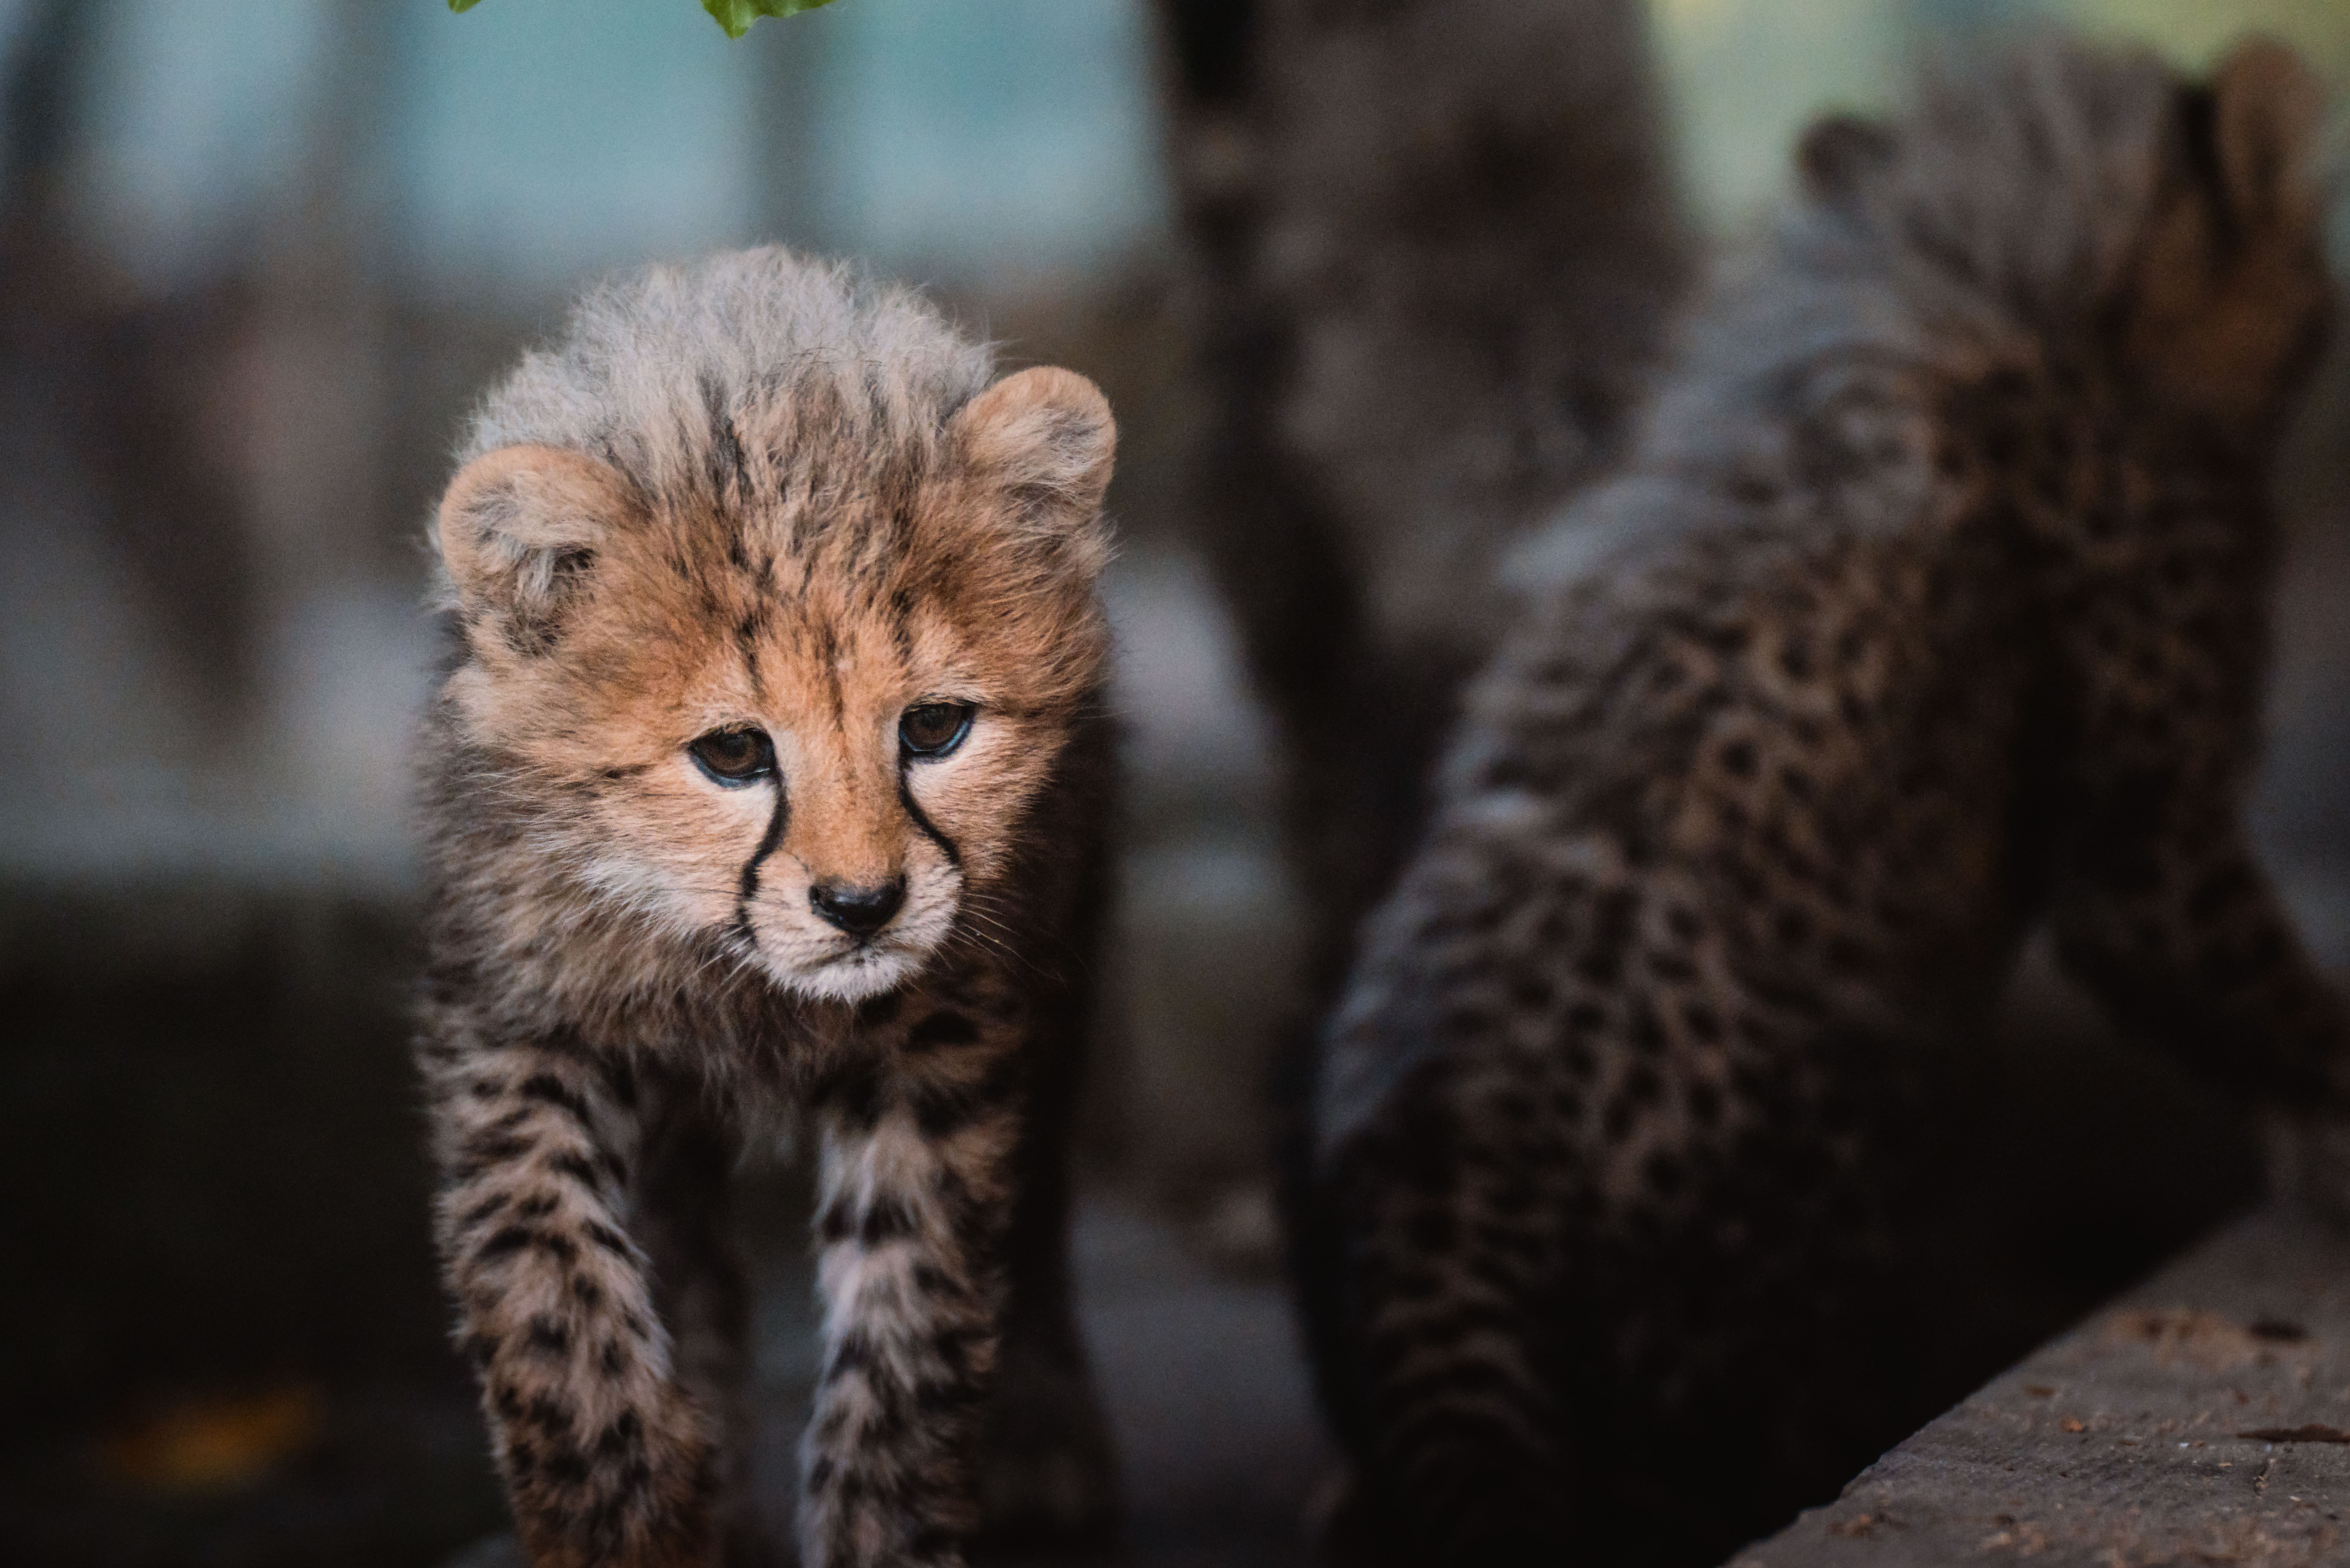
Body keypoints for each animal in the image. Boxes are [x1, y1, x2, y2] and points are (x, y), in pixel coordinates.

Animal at [412, 248, 1120, 1568]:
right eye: (734, 752)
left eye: (934, 727)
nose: (862, 905)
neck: (738, 979)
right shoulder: (514, 1014)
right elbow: (542, 1262)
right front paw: (617, 1511)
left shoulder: (943, 1050)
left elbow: (907, 1333)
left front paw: (884, 1530)